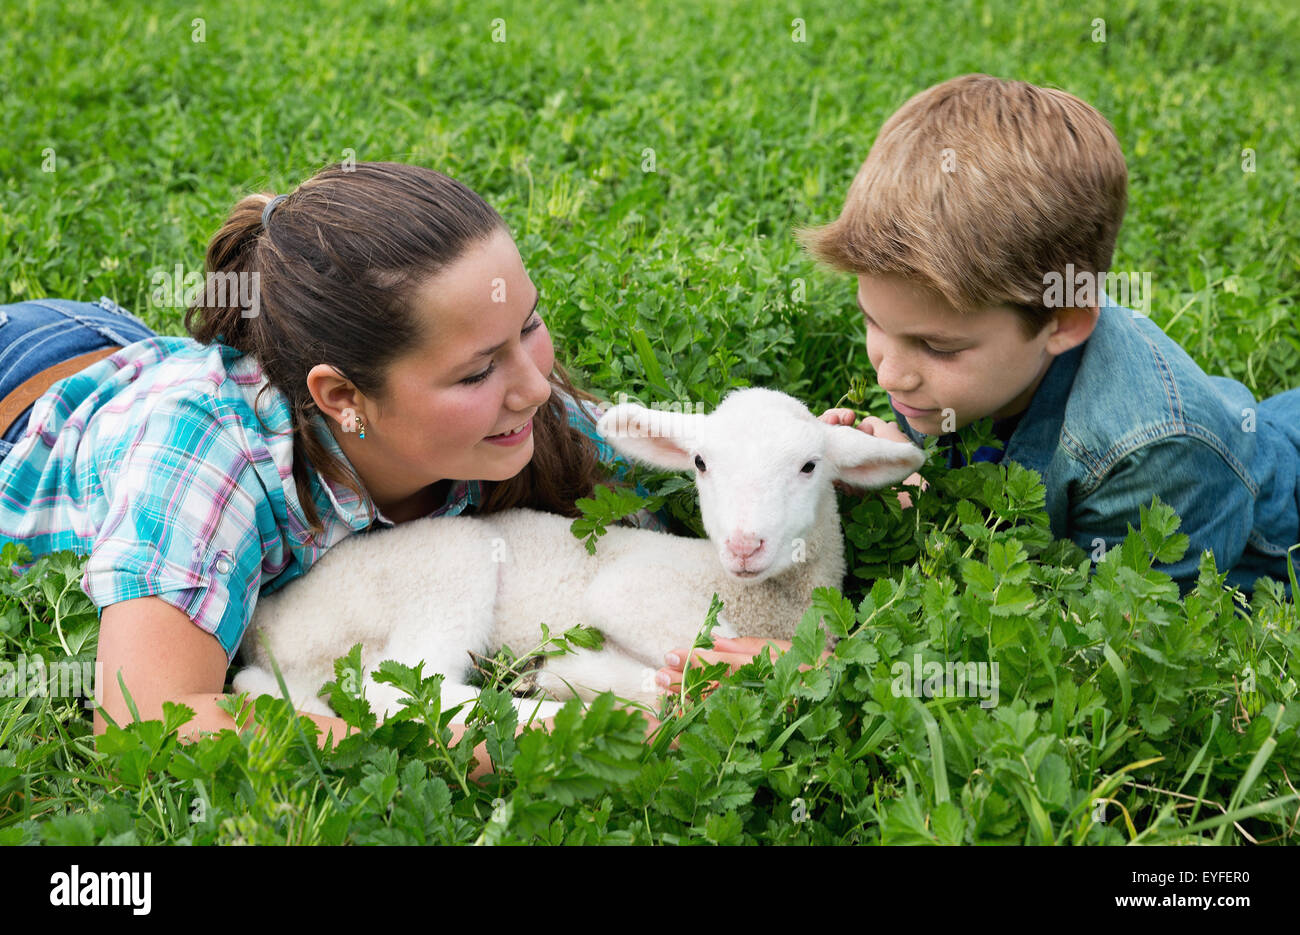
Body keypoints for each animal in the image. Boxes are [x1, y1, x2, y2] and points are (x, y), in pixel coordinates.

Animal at [233, 387, 925, 723]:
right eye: (702, 463)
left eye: (810, 466)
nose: (744, 544)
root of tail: (268, 620)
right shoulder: (631, 588)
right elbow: (700, 652)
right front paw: (607, 678)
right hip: (448, 567)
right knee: (398, 691)